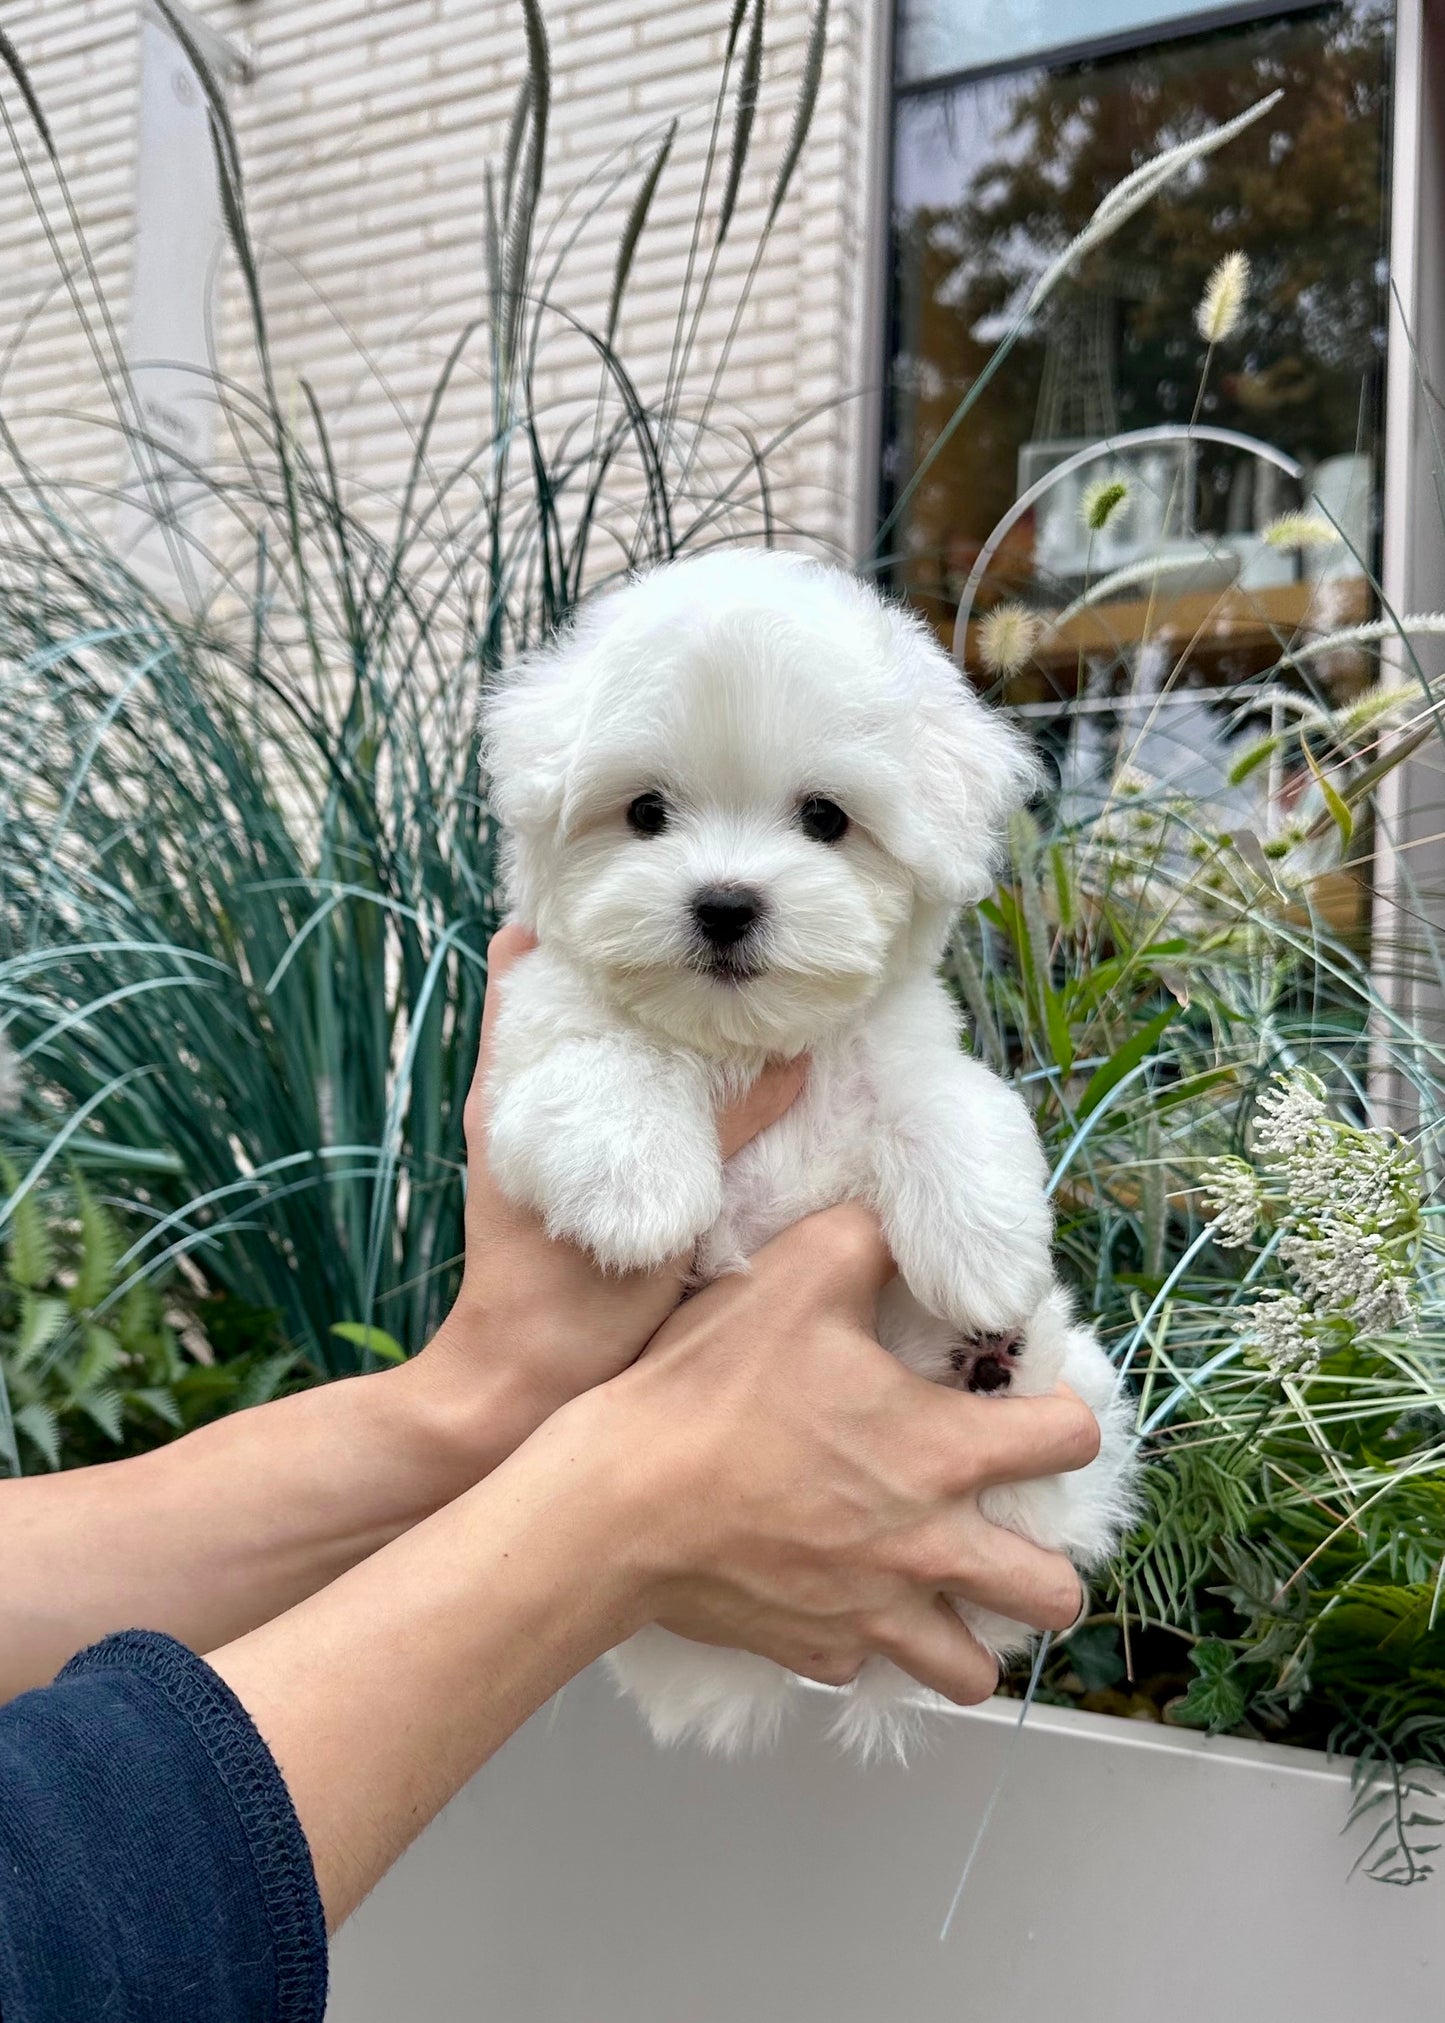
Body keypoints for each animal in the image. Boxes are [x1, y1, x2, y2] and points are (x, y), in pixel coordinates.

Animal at [483, 550, 1133, 1755]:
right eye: (646, 812)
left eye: (824, 818)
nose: (724, 903)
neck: (746, 1043)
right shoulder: (532, 1039)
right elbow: (605, 1065)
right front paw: (642, 1194)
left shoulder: (904, 1050)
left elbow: (952, 1109)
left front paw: (983, 1257)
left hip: (1071, 1420)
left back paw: (994, 1360)